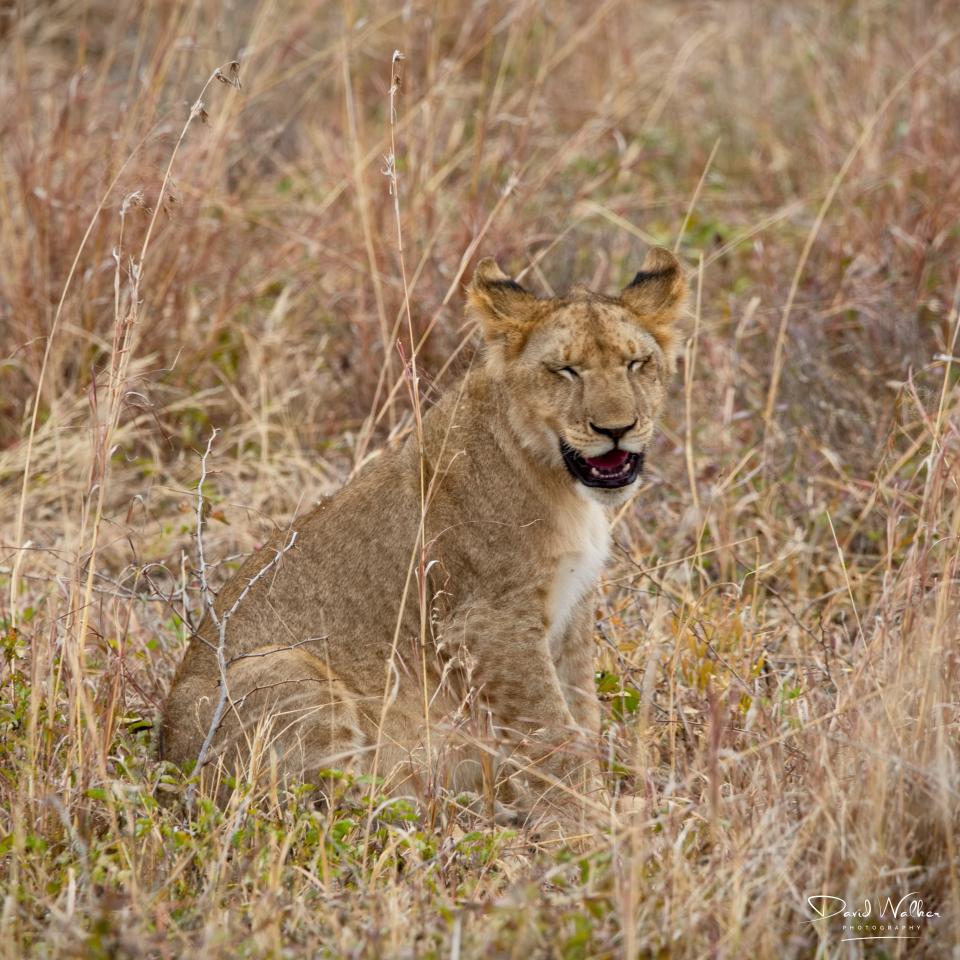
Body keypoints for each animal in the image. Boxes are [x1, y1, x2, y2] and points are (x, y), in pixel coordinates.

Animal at [160, 247, 686, 825]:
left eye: (636, 363)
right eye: (565, 370)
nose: (616, 429)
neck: (557, 480)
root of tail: (167, 769)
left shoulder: (573, 609)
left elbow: (581, 710)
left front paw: (605, 807)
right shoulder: (486, 623)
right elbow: (551, 729)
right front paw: (585, 823)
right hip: (283, 668)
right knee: (324, 809)